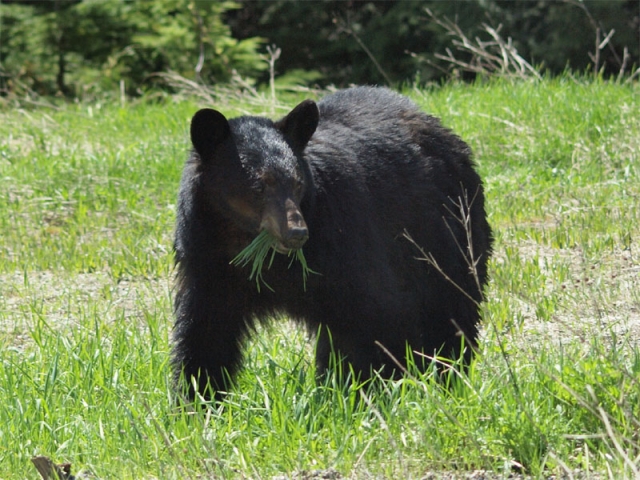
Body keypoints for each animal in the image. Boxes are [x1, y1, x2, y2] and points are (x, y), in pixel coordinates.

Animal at [172, 87, 492, 402]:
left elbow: (379, 312)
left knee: (452, 306)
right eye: (258, 186)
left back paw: (449, 374)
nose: (297, 233)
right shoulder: (208, 261)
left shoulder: (341, 242)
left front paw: (371, 392)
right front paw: (196, 399)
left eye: (297, 183)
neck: (250, 244)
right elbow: (206, 334)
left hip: (450, 229)